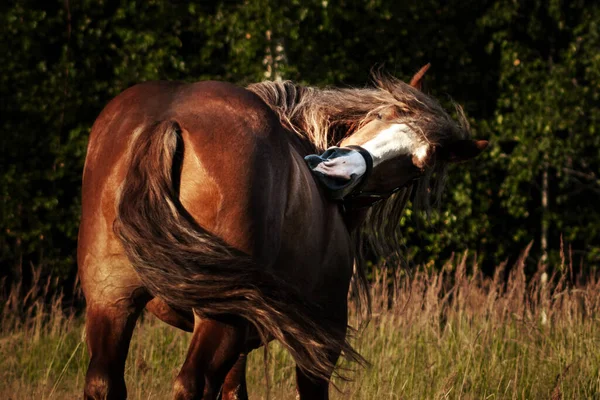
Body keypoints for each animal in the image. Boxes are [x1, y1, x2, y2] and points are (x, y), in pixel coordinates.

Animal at [77, 66, 488, 400]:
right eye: (381, 114)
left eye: (417, 164)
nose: (334, 169)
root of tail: (166, 120)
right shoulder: (323, 342)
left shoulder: (243, 342)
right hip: (220, 318)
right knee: (192, 385)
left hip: (111, 303)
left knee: (105, 383)